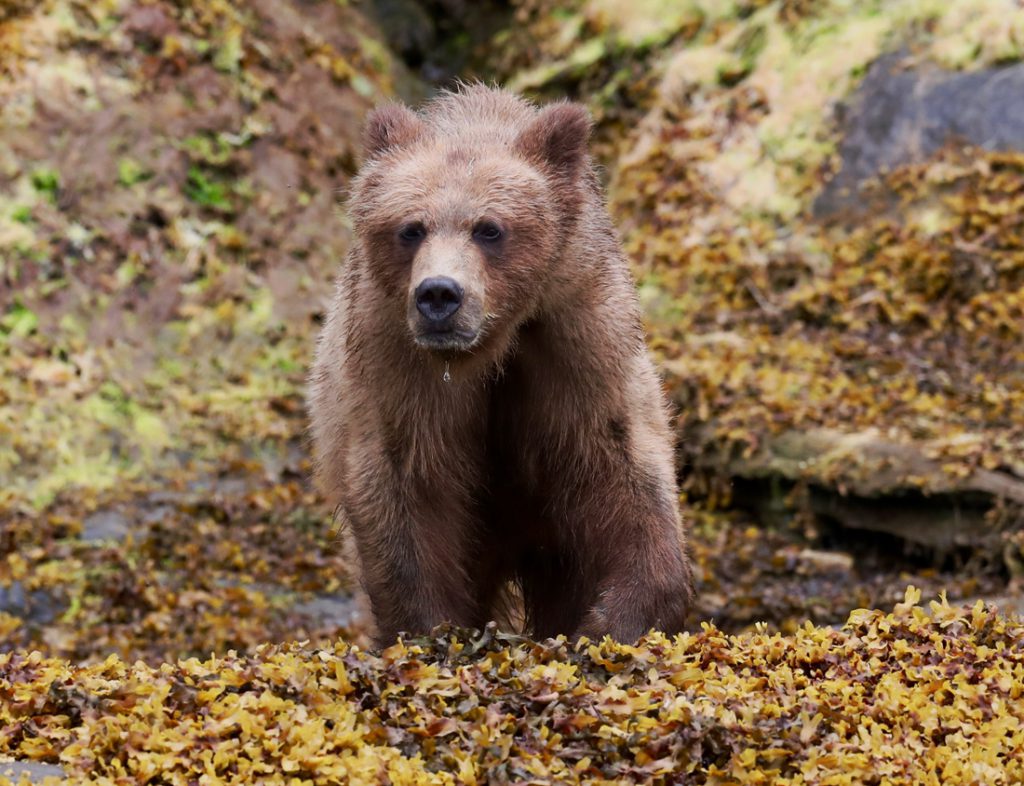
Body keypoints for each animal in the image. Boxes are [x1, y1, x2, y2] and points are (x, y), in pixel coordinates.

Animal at [309, 84, 696, 646]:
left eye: (489, 229)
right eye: (411, 228)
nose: (439, 295)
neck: (492, 346)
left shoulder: (580, 340)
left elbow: (620, 466)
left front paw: (613, 621)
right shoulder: (394, 365)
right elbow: (408, 490)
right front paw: (431, 630)